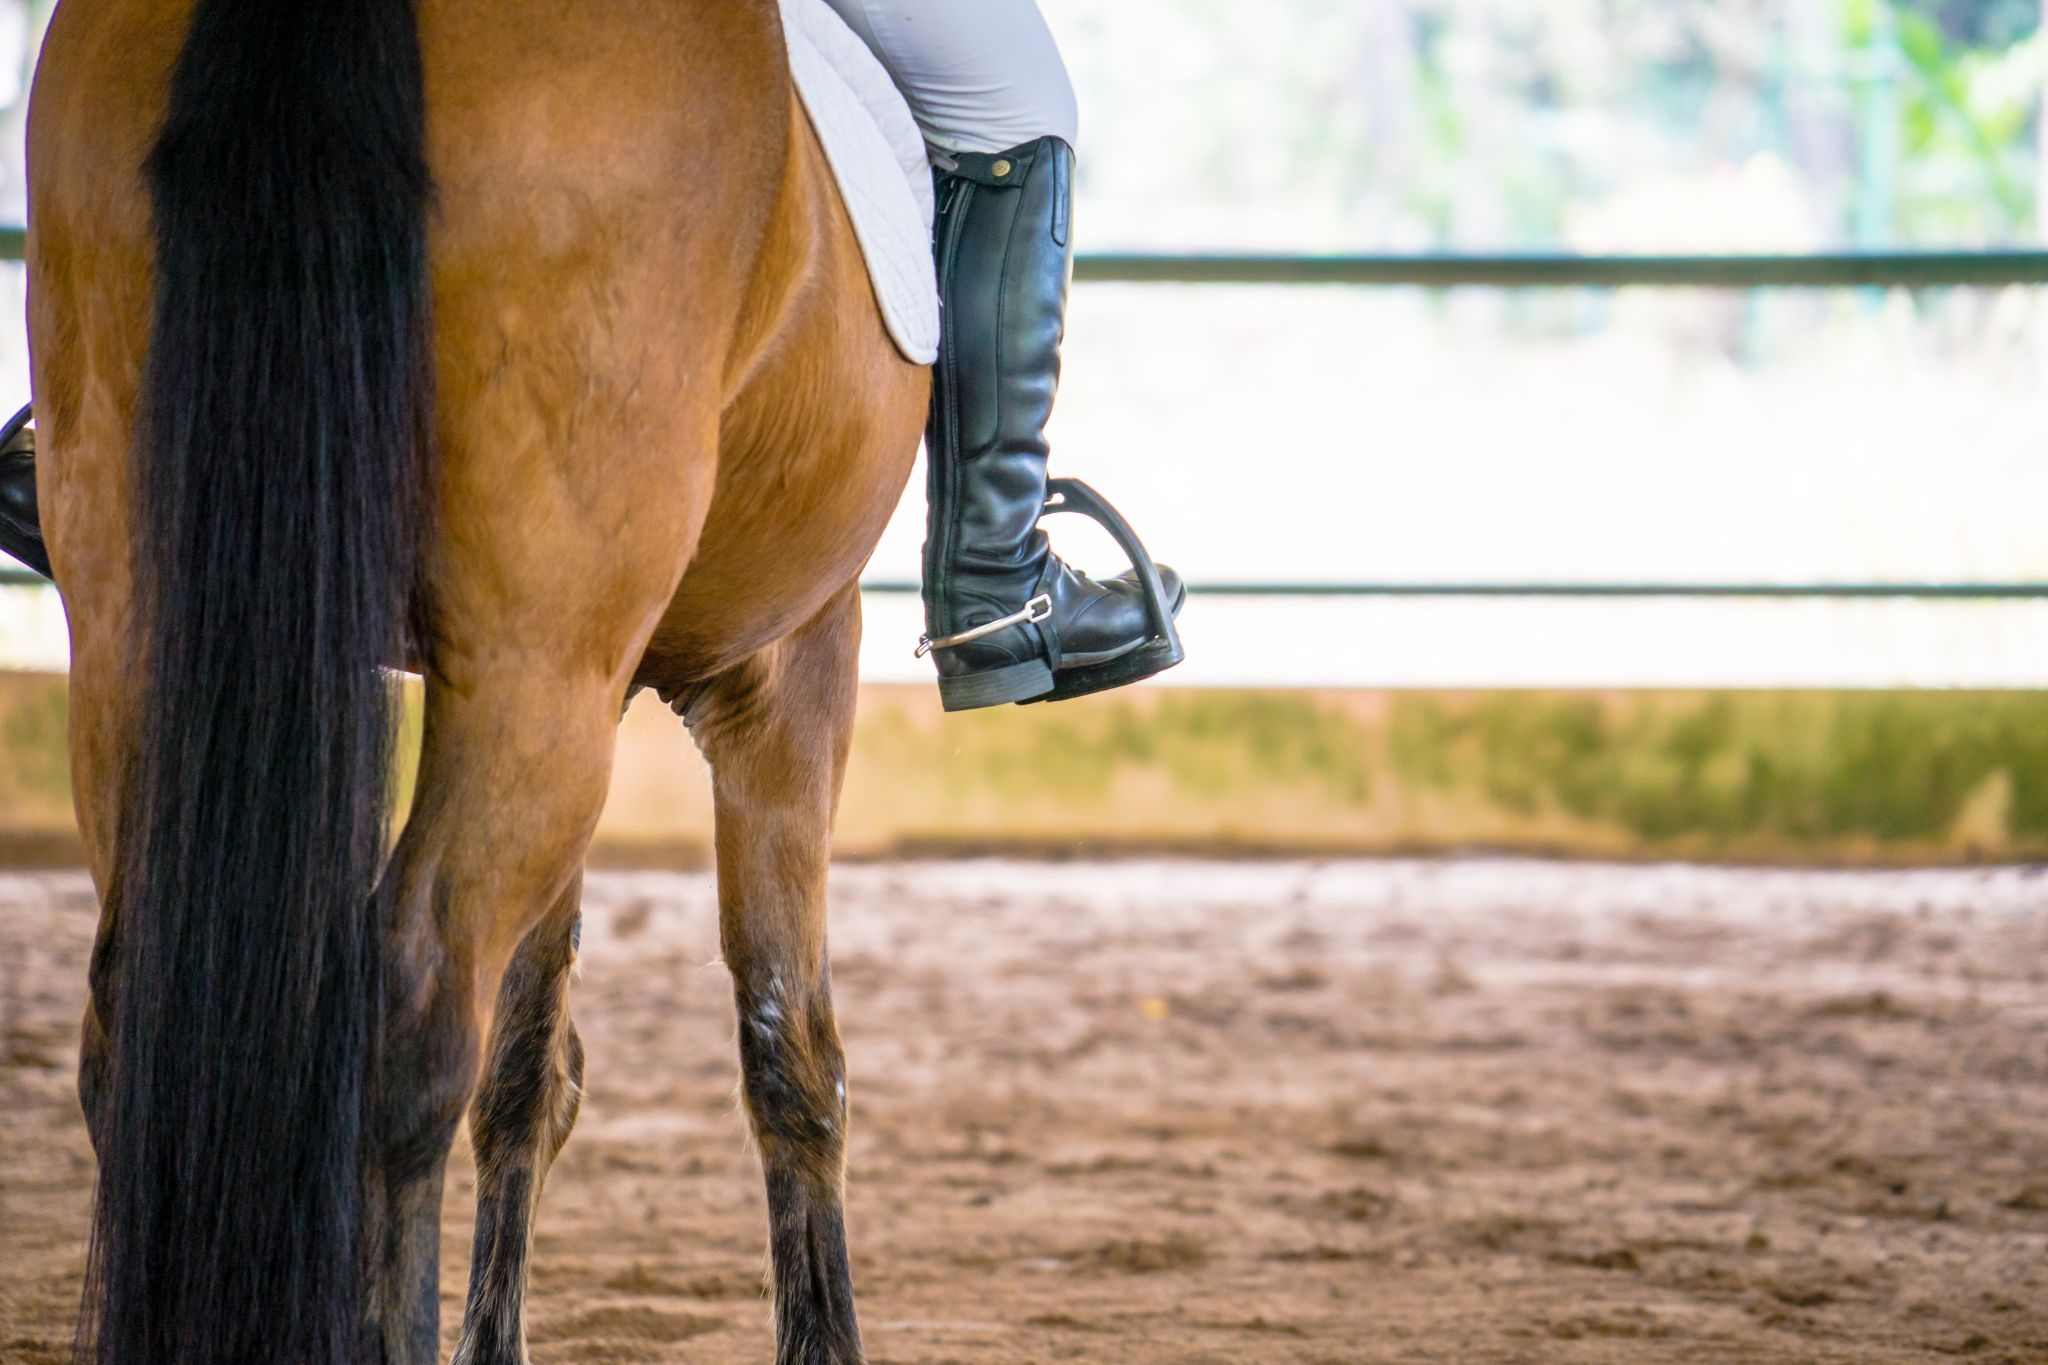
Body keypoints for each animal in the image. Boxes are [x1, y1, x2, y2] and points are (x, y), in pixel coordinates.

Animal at [28, 0, 925, 1360]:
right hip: (536, 672)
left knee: (145, 1016)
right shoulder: (786, 666)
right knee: (408, 1013)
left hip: (149, 635)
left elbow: (530, 1068)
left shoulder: (599, 680)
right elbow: (792, 1055)